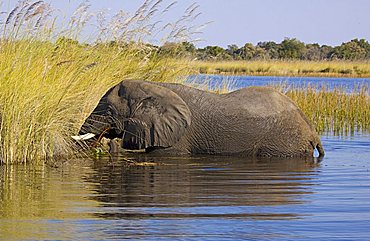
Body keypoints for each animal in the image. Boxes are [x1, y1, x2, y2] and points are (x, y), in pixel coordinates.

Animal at [75, 79, 324, 158]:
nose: (106, 136)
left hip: (282, 145)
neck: (154, 86)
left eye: (109, 111)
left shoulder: (177, 138)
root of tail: (312, 130)